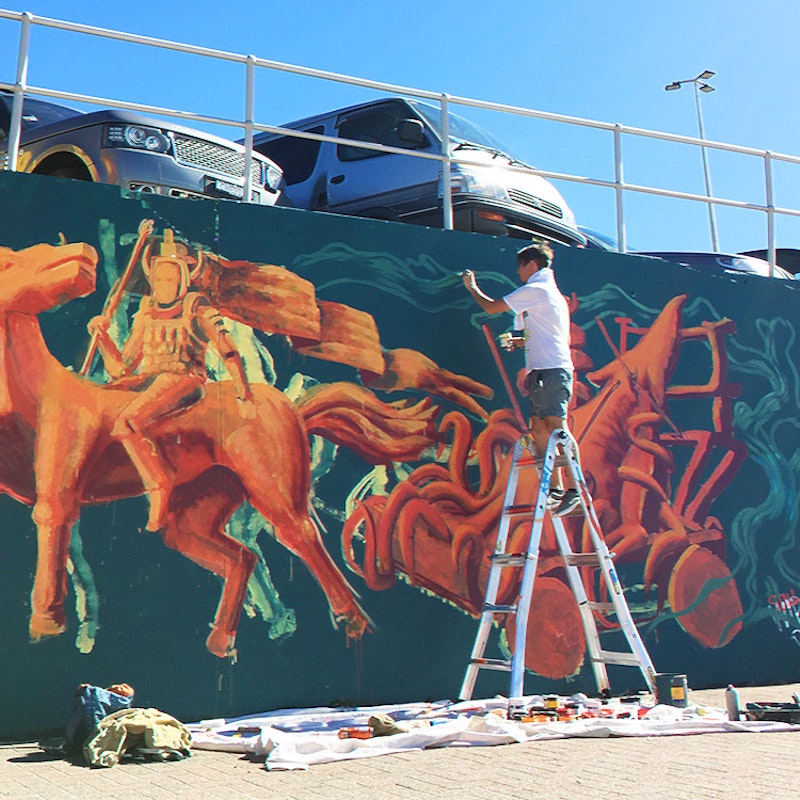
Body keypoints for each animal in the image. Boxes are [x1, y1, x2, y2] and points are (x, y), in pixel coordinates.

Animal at [0, 242, 440, 656]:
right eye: (10, 260)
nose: (85, 257)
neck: (36, 391)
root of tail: (290, 407)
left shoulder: (62, 473)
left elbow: (51, 515)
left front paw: (45, 622)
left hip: (272, 486)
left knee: (300, 534)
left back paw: (352, 620)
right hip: (203, 504)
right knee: (240, 556)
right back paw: (221, 639)